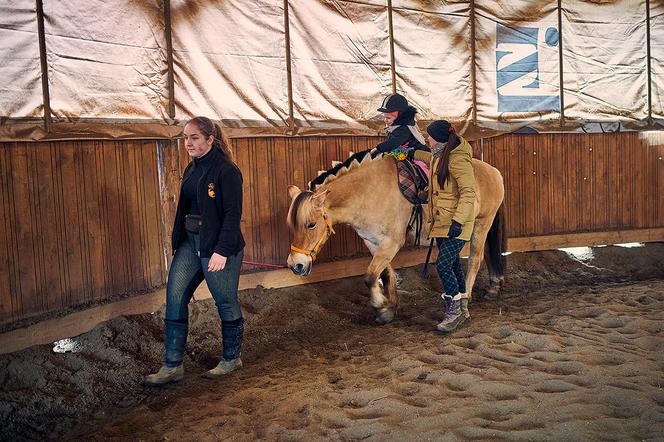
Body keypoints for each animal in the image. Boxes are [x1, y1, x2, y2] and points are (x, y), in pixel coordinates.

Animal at [282, 150, 506, 322]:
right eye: (291, 225)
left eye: (311, 224)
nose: (296, 265)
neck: (368, 192)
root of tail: (494, 171)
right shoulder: (373, 242)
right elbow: (385, 273)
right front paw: (390, 307)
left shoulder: (392, 242)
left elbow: (370, 275)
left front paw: (380, 305)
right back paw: (493, 286)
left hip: (482, 223)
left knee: (475, 259)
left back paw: (466, 298)